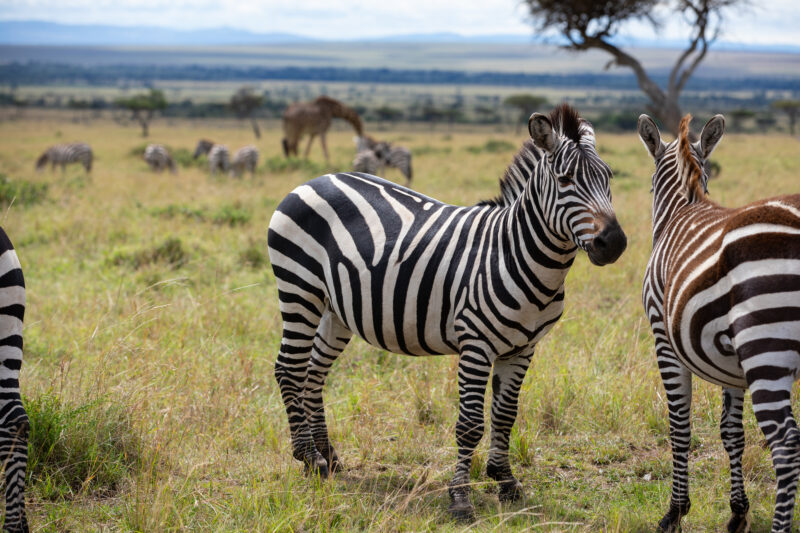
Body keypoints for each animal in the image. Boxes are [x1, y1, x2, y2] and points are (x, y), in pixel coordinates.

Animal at [268, 104, 627, 520]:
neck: (515, 252)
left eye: (609, 177)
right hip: (299, 288)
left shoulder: (523, 348)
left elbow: (505, 415)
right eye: (565, 179)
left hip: (336, 309)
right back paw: (309, 458)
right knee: (289, 369)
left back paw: (329, 457)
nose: (614, 243)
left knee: (313, 373)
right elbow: (470, 424)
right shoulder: (476, 344)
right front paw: (460, 498)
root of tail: (313, 180)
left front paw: (506, 482)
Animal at [639, 113, 800, 532]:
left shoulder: (663, 337)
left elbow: (679, 424)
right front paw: (737, 512)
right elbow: (732, 433)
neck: (682, 207)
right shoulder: (733, 364)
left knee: (786, 447)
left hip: (766, 349)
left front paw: (675, 511)